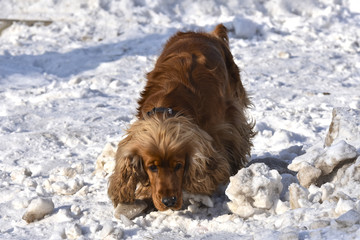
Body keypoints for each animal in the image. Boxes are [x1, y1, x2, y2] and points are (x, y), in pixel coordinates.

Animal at [108, 24, 255, 211]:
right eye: (152, 167)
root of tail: (206, 34)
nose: (168, 201)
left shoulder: (219, 129)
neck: (166, 109)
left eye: (178, 165)